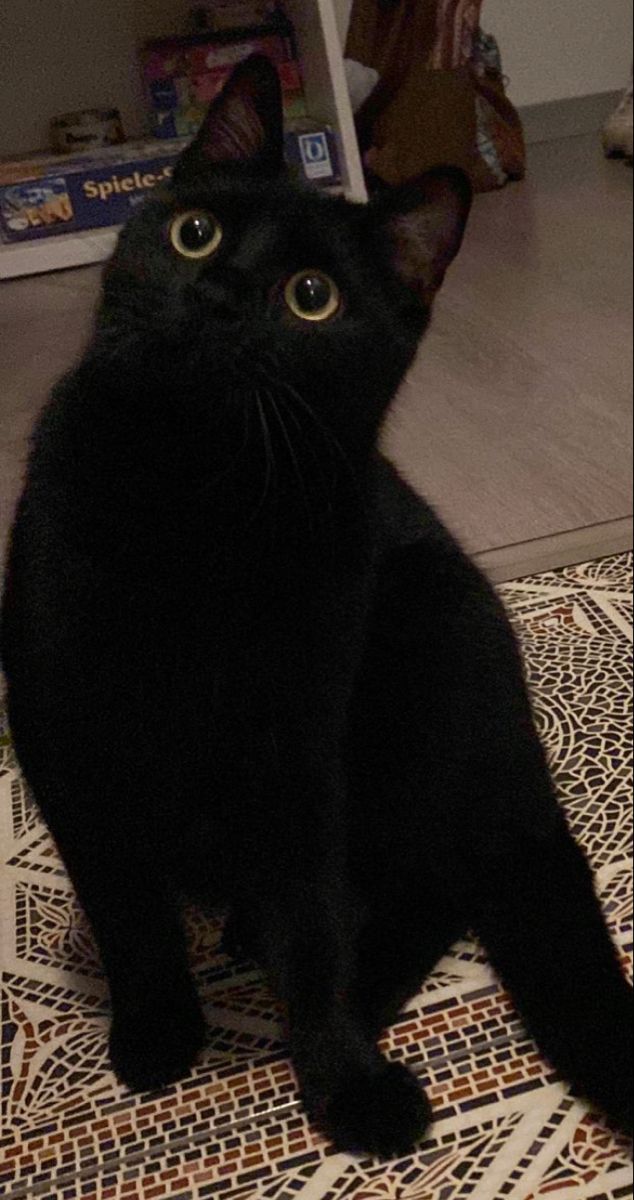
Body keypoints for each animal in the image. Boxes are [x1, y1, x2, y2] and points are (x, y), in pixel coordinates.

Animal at [2, 58, 629, 1161]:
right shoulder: (64, 735)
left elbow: (311, 918)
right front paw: (158, 1030)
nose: (213, 295)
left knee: (424, 882)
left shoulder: (294, 748)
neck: (196, 510)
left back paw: (349, 991)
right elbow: (127, 911)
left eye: (310, 298)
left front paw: (341, 1077)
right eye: (194, 233)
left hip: (422, 635)